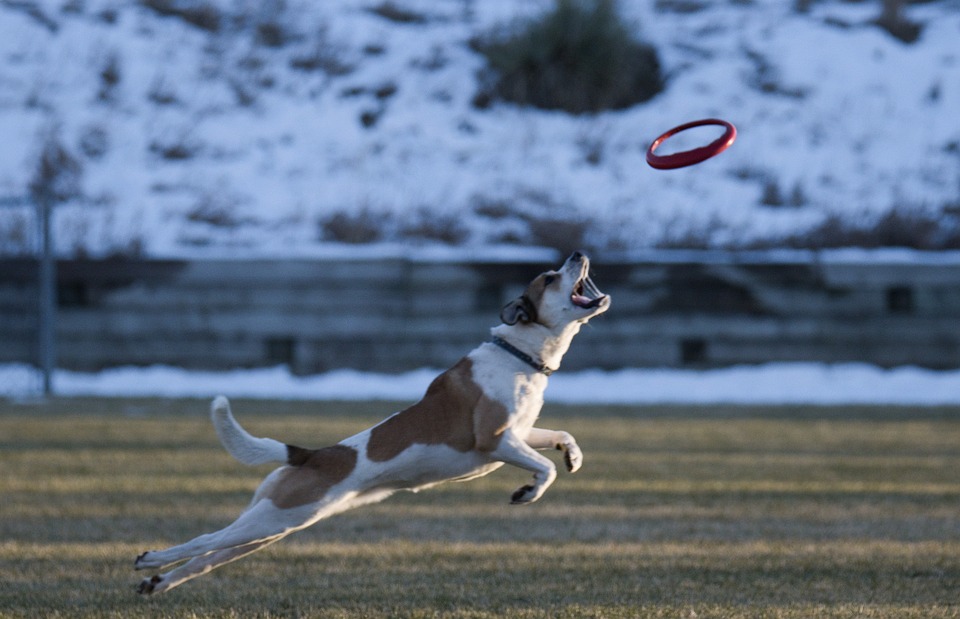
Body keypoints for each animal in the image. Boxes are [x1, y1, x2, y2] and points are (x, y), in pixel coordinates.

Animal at [133, 251, 616, 596]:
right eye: (549, 278)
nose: (578, 252)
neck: (520, 354)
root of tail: (311, 455)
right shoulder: (495, 440)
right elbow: (544, 468)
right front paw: (527, 492)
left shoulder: (520, 434)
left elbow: (560, 438)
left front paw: (572, 456)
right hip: (275, 520)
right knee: (203, 540)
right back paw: (151, 560)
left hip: (278, 524)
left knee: (209, 555)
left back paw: (158, 583)